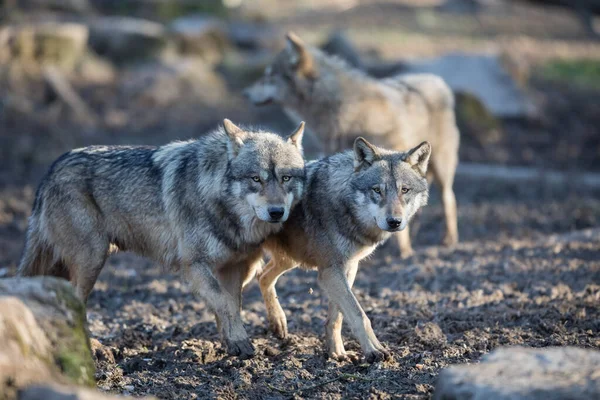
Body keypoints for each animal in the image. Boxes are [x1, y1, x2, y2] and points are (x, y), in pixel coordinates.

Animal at [17, 119, 310, 360]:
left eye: (285, 178)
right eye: (256, 179)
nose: (276, 212)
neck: (218, 202)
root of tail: (50, 170)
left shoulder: (235, 268)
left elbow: (231, 306)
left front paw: (231, 343)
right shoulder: (195, 265)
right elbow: (225, 303)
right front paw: (240, 343)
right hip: (93, 258)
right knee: (76, 302)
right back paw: (94, 349)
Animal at [244, 32, 460, 256]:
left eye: (269, 76)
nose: (245, 93)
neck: (340, 107)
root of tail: (435, 79)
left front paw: (404, 252)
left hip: (443, 168)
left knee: (449, 200)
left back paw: (449, 240)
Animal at [258, 137, 432, 362]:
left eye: (405, 190)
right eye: (377, 190)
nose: (394, 222)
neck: (345, 208)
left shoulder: (348, 268)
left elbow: (337, 318)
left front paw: (337, 353)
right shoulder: (330, 271)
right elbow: (359, 315)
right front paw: (374, 350)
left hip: (290, 259)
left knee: (263, 276)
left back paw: (278, 323)